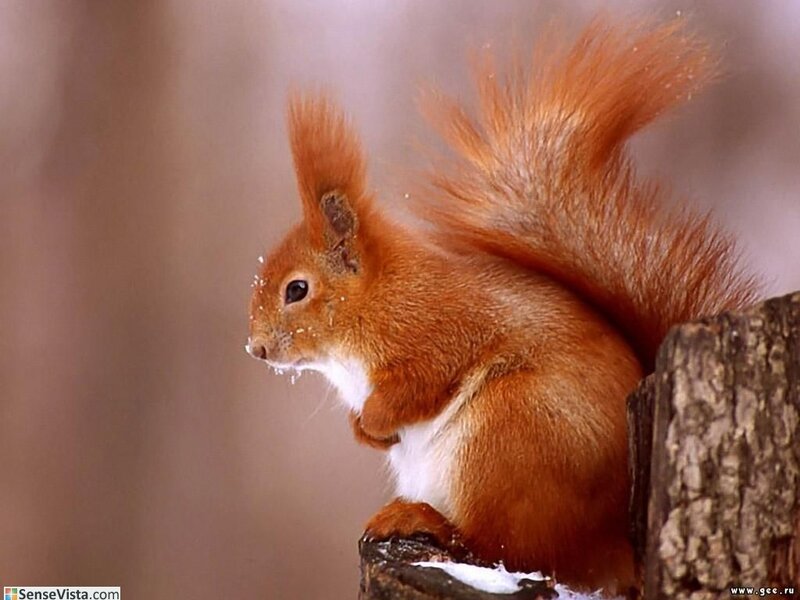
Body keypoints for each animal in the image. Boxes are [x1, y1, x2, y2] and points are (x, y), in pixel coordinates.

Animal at [246, 18, 759, 591]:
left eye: (296, 289)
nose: (256, 348)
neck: (376, 302)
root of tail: (617, 545)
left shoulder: (439, 330)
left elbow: (419, 383)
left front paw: (375, 421)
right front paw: (365, 432)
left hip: (508, 433)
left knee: (508, 545)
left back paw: (421, 519)